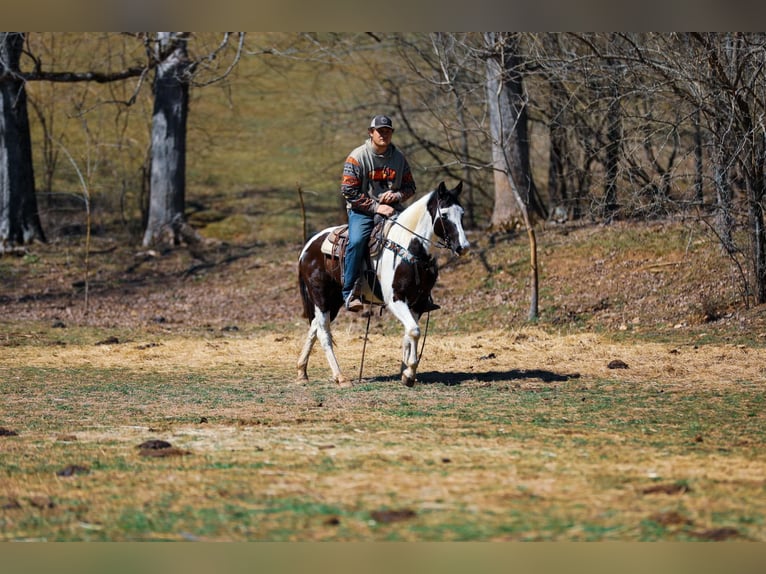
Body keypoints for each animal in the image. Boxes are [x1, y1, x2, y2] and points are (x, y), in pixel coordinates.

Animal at [297, 181, 470, 387]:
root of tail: (308, 247)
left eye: (462, 214)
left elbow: (409, 333)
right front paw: (409, 371)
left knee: (314, 327)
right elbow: (414, 331)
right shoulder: (395, 300)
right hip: (321, 297)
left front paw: (406, 373)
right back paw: (341, 377)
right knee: (323, 333)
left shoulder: (418, 303)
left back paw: (302, 371)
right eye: (444, 215)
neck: (409, 248)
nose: (463, 247)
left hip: (334, 301)